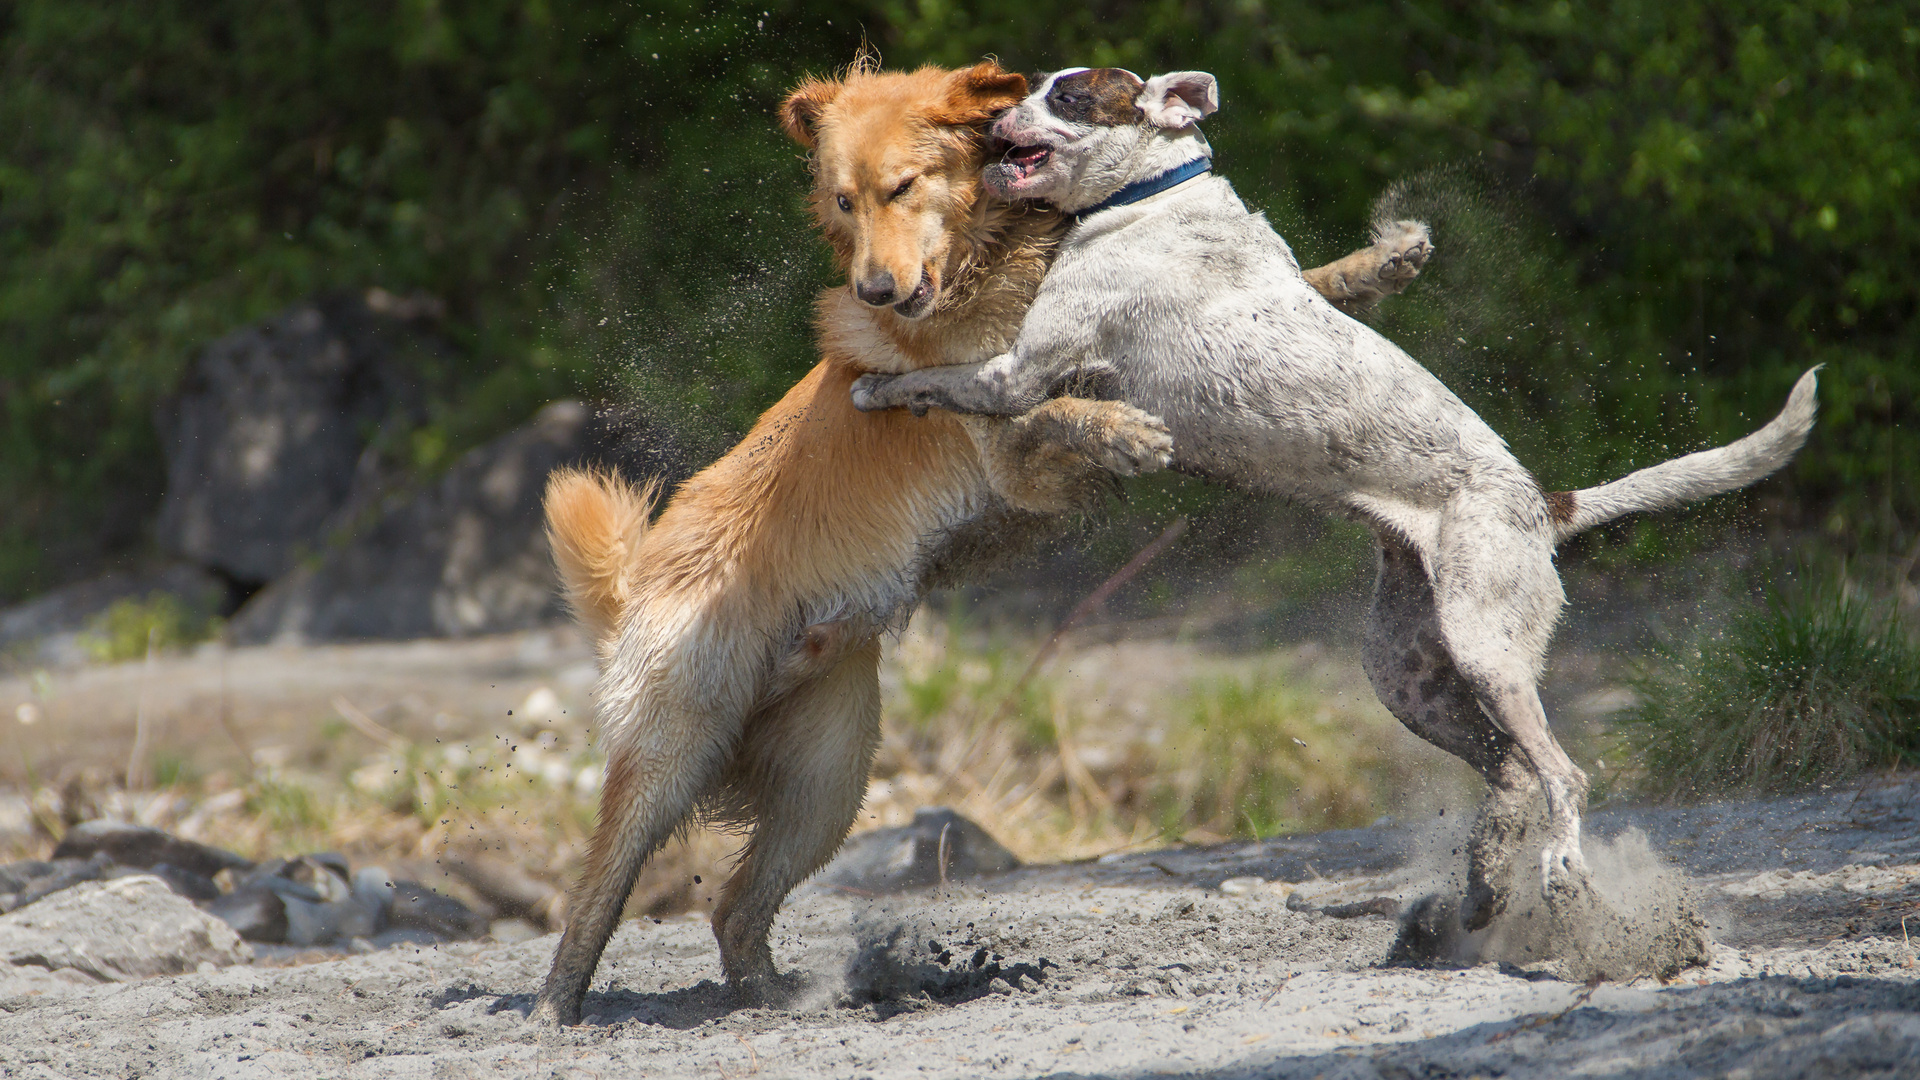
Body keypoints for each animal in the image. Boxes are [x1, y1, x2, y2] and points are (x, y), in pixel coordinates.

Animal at [852, 67, 1812, 926]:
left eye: (1068, 94)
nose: (991, 121)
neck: (1157, 195)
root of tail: (1547, 506)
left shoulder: (1018, 372)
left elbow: (939, 377)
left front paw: (872, 386)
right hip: (1407, 675)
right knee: (1508, 772)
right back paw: (1483, 885)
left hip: (1489, 652)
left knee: (1562, 775)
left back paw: (1560, 873)